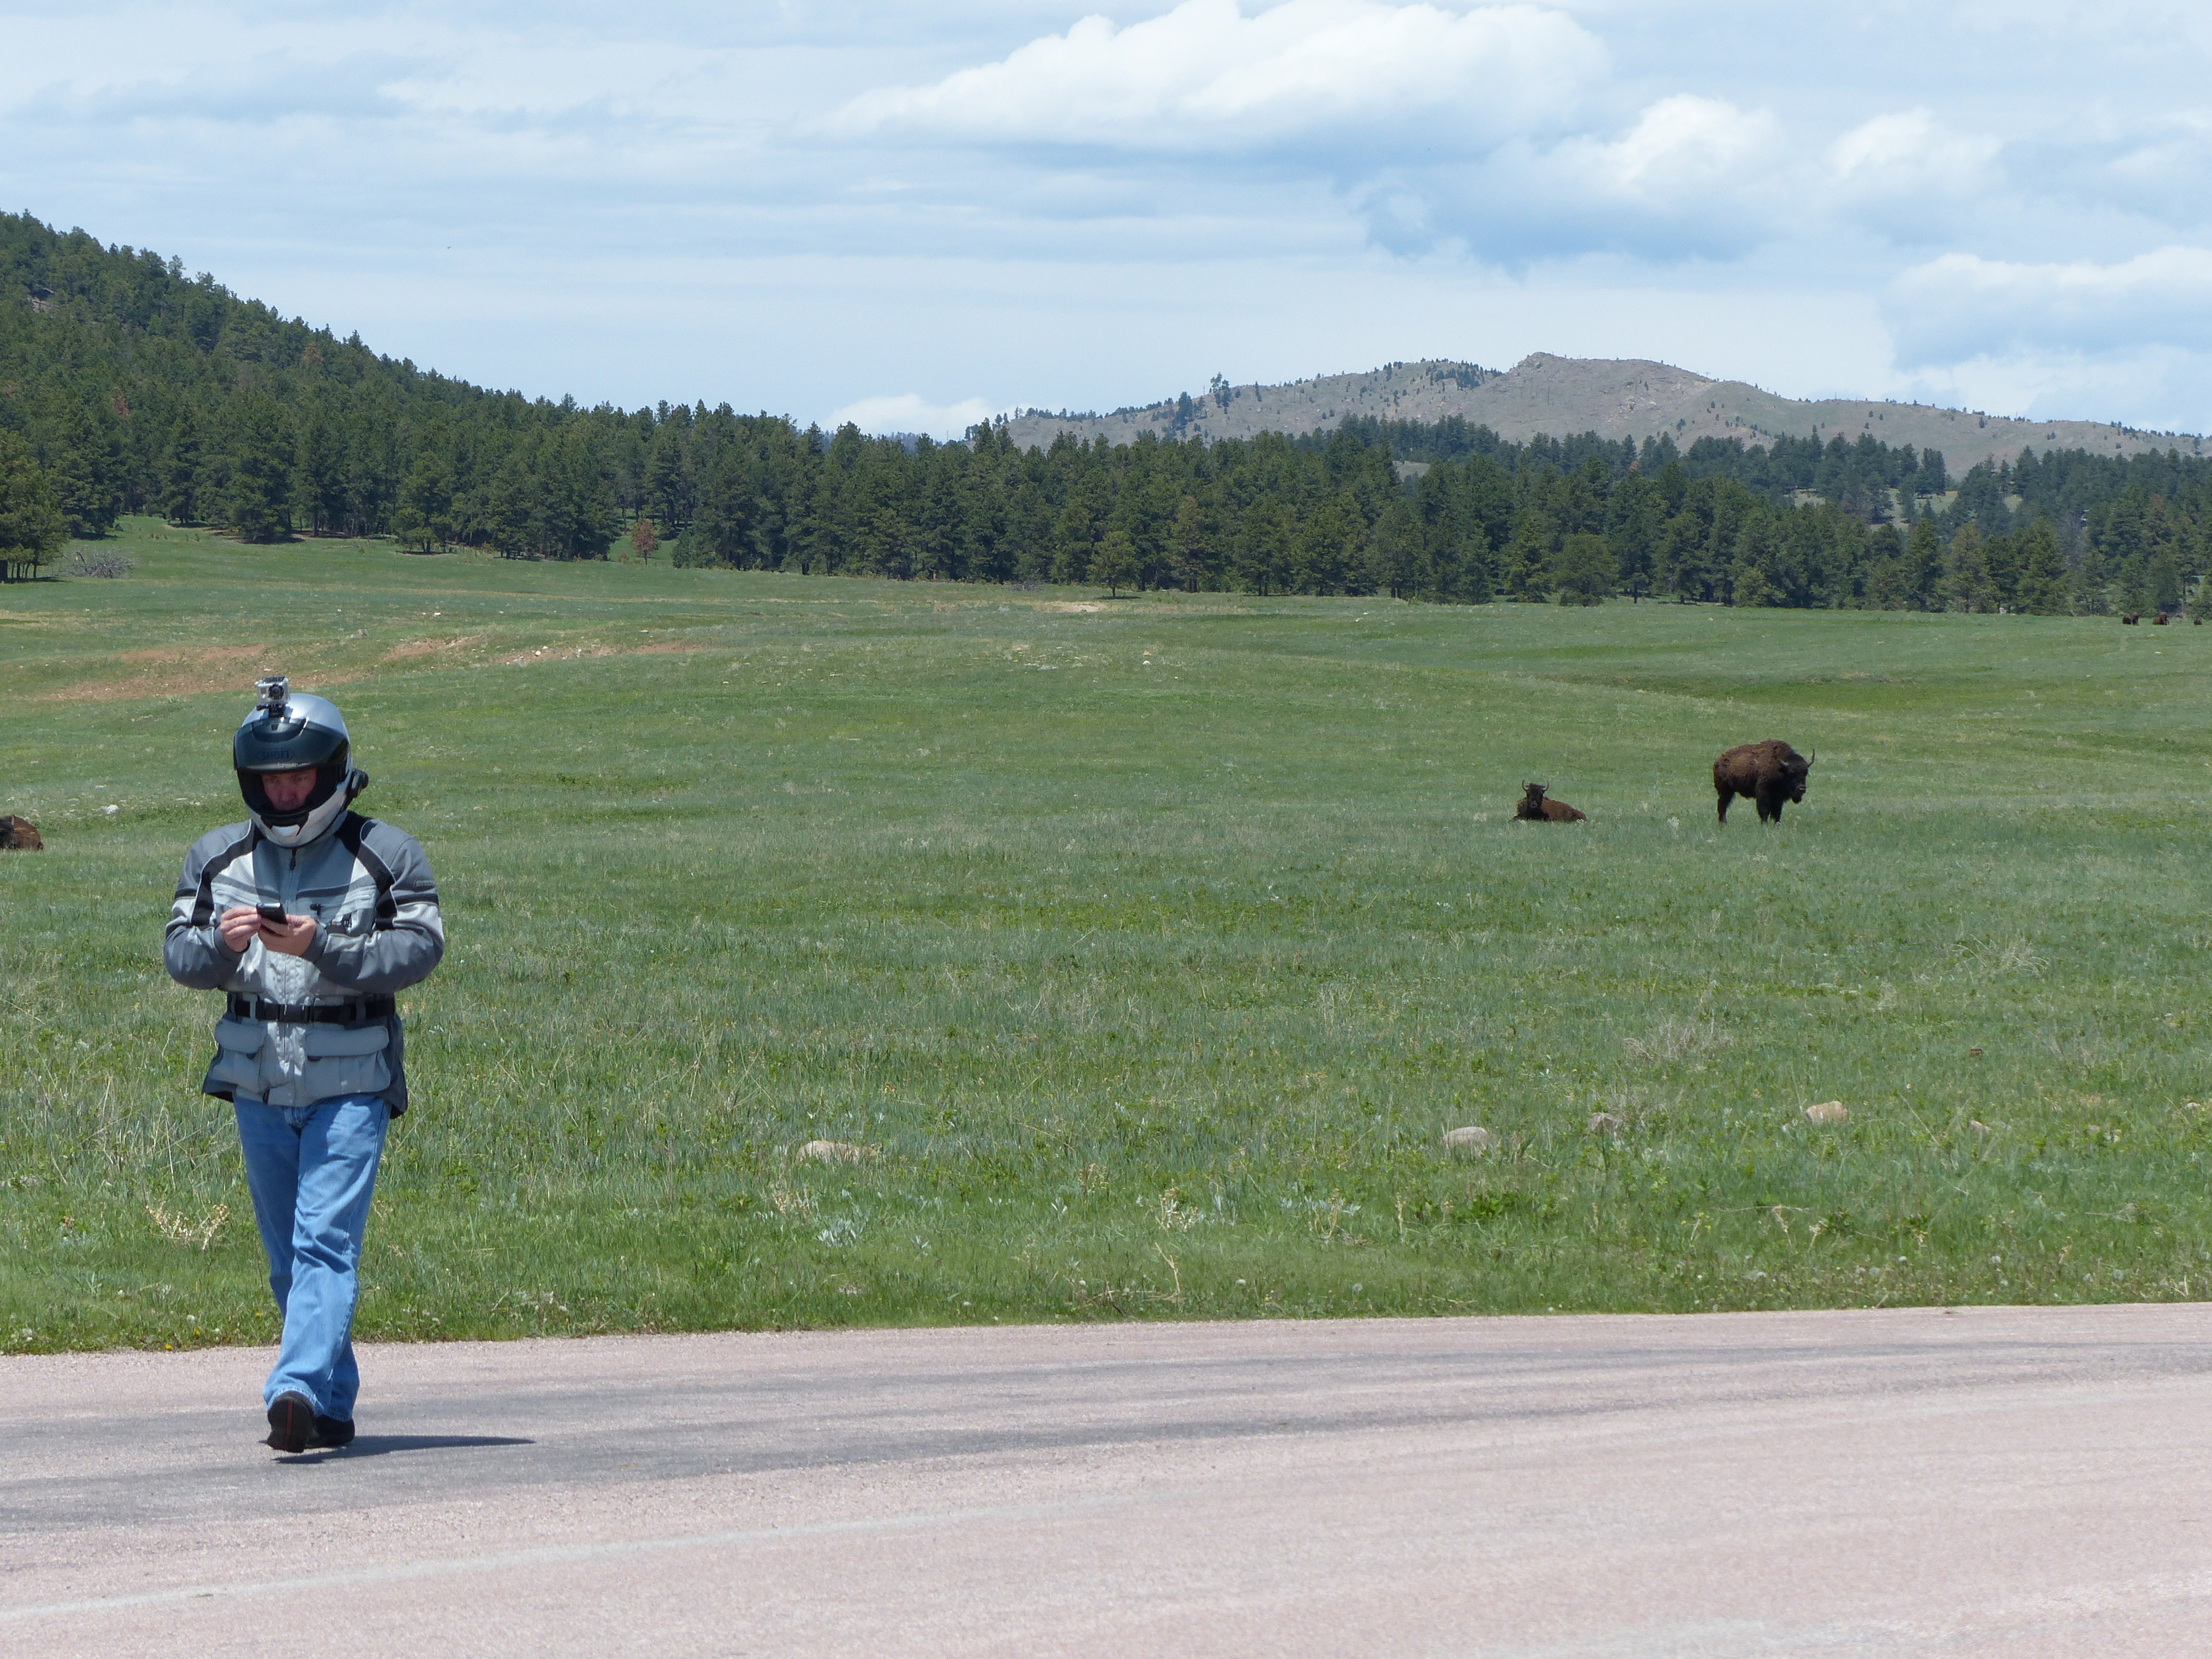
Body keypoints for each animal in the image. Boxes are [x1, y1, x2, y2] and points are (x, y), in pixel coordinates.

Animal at [1713, 741, 1813, 825]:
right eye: (1792, 773)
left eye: (1806, 773)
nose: (1802, 789)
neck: (1781, 768)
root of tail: (1718, 761)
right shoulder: (1763, 792)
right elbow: (1764, 809)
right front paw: (1765, 824)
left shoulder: (1778, 797)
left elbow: (1777, 811)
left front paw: (1777, 824)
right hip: (1725, 791)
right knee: (1722, 805)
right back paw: (1723, 823)